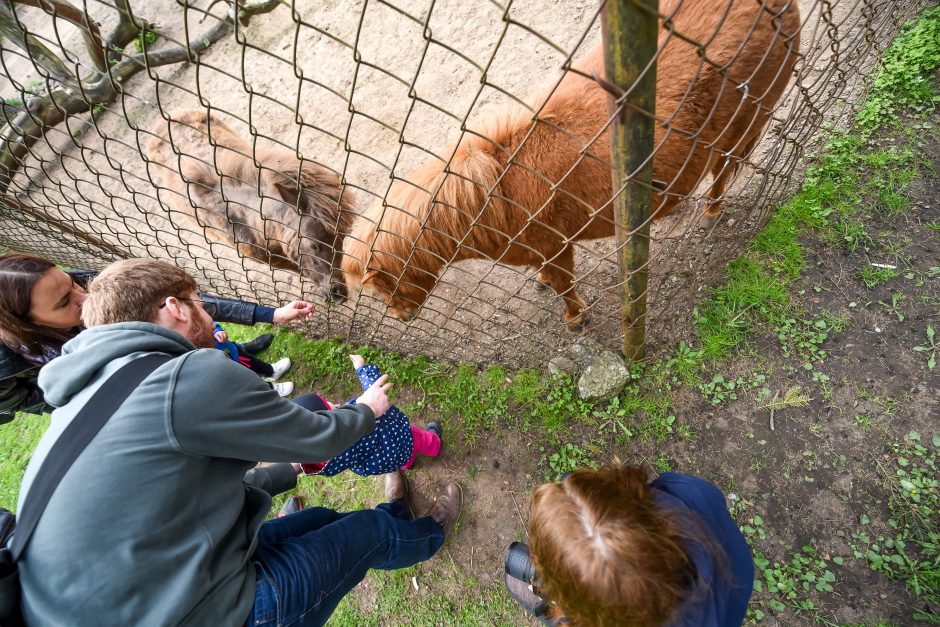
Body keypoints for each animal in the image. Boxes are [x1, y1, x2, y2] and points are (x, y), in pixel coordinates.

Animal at [342, 0, 796, 332]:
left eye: (382, 288)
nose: (402, 317)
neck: (493, 196)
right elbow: (549, 278)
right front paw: (545, 286)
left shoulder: (555, 245)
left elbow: (564, 285)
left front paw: (575, 319)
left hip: (747, 119)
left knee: (725, 167)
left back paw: (712, 210)